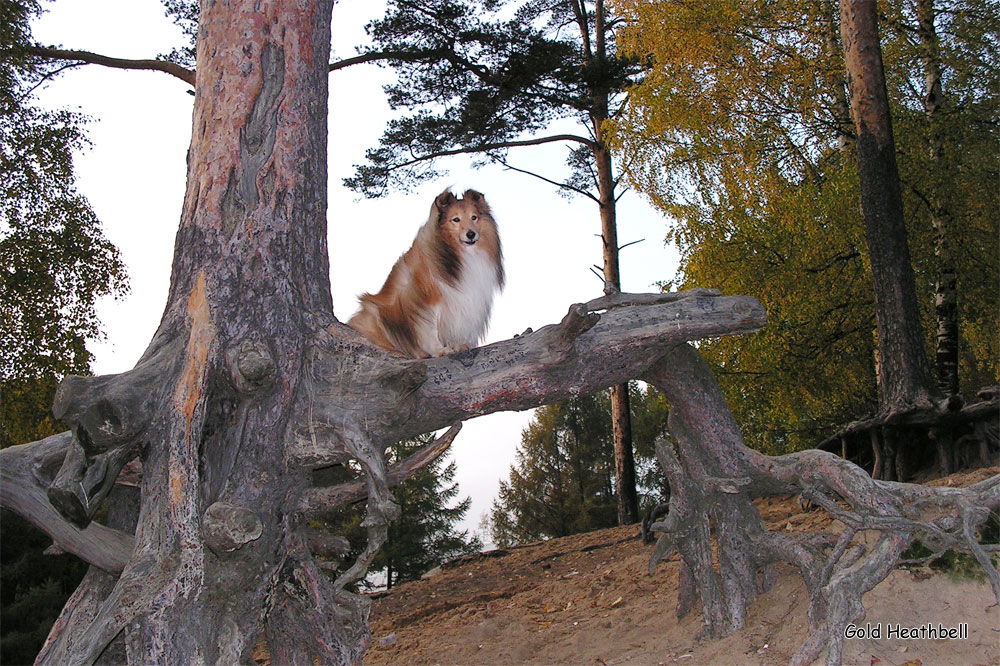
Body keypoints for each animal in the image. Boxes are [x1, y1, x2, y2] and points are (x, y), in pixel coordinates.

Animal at [348, 187, 504, 358]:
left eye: (474, 217)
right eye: (456, 219)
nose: (471, 234)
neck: (458, 254)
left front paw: (458, 345)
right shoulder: (428, 298)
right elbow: (429, 329)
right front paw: (440, 350)